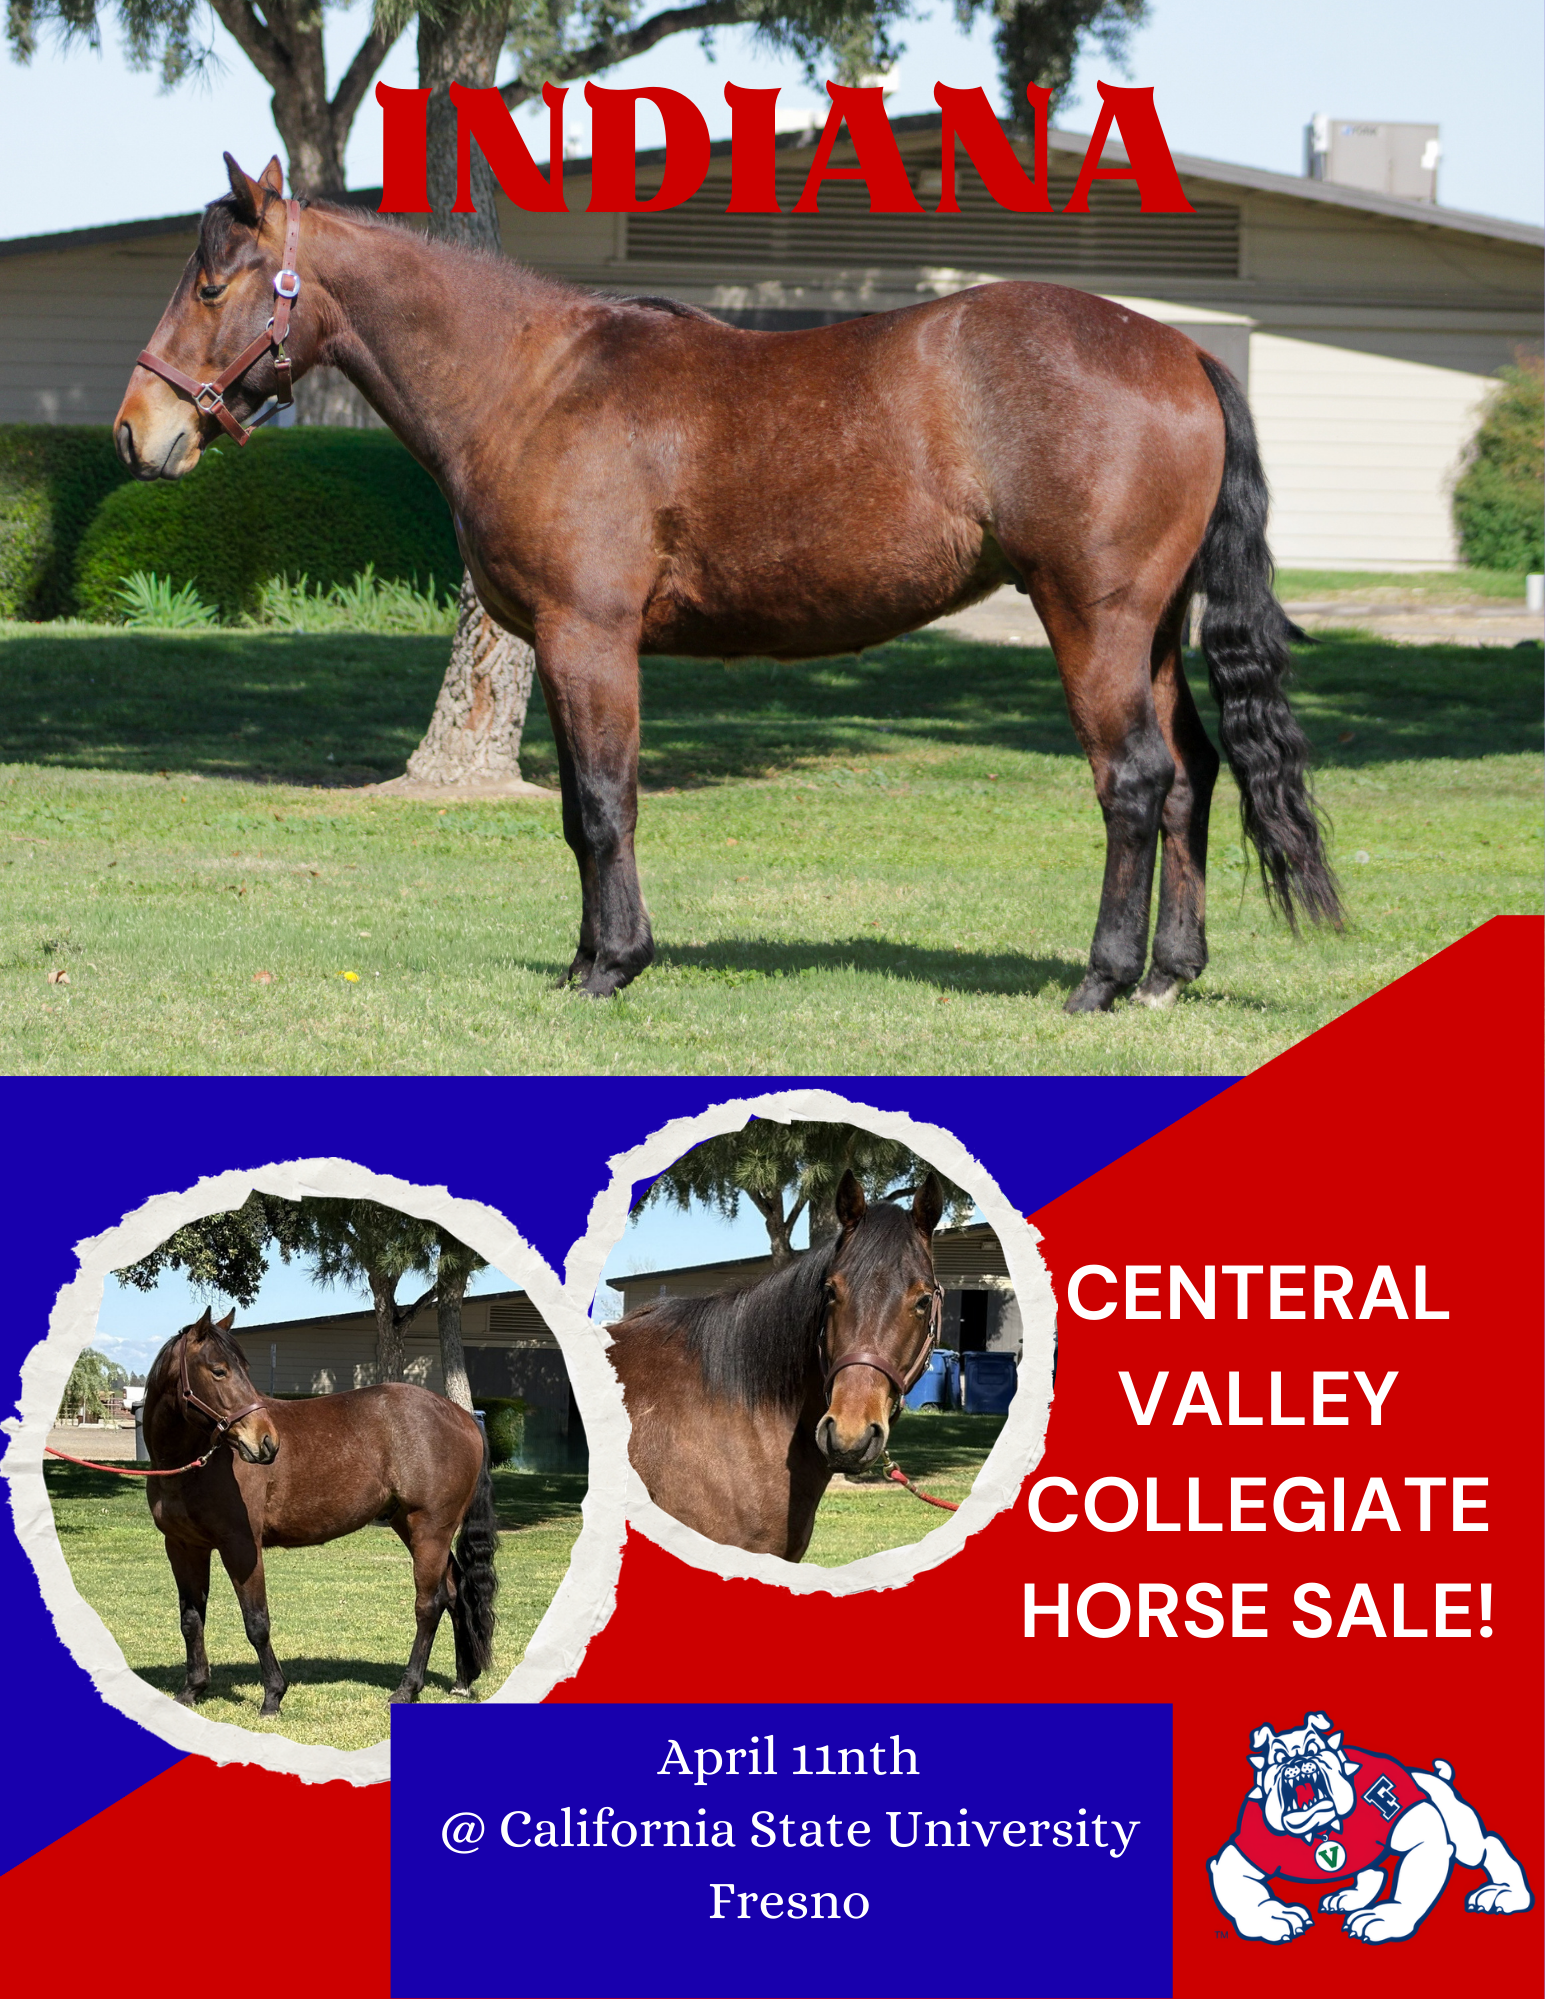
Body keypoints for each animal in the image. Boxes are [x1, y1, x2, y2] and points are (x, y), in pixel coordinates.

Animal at [114, 153, 1342, 1014]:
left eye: (213, 285)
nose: (137, 432)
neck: (531, 383)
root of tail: (1178, 352)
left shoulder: (589, 637)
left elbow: (605, 803)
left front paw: (613, 965)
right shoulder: (560, 647)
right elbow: (577, 812)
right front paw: (584, 959)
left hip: (1093, 618)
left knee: (1133, 782)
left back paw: (1099, 978)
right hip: (1153, 630)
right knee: (1189, 778)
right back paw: (1166, 974)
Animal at [140, 1306, 497, 1715]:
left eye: (242, 1368)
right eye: (219, 1370)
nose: (267, 1441)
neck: (190, 1467)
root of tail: (463, 1417)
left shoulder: (241, 1546)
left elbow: (256, 1622)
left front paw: (273, 1696)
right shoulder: (183, 1547)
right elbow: (191, 1620)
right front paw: (192, 1689)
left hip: (430, 1528)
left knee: (430, 1604)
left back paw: (407, 1688)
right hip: (410, 1525)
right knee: (455, 1592)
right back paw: (462, 1681)